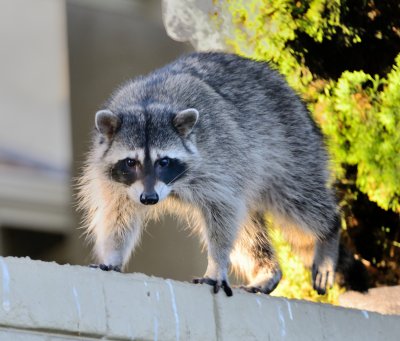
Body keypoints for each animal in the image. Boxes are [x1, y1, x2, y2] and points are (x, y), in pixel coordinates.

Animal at [78, 51, 366, 294]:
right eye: (131, 162)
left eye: (164, 161)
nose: (149, 199)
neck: (149, 103)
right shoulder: (112, 179)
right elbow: (118, 214)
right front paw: (113, 254)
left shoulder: (219, 160)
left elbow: (222, 214)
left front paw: (217, 263)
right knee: (249, 230)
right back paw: (266, 269)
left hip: (291, 148)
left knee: (297, 200)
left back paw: (328, 230)